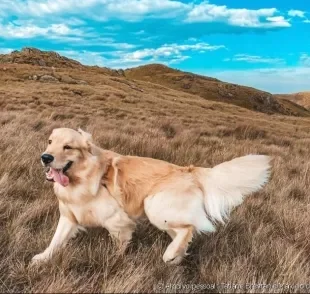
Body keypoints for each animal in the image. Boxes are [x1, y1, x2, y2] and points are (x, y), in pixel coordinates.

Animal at [32, 127, 272, 266]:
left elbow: (118, 248)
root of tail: (188, 169)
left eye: (68, 147)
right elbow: (56, 240)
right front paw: (43, 258)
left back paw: (170, 254)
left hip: (153, 205)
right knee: (185, 234)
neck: (83, 178)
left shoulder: (118, 222)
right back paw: (175, 257)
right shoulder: (69, 217)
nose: (45, 157)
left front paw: (115, 262)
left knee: (188, 229)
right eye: (50, 142)